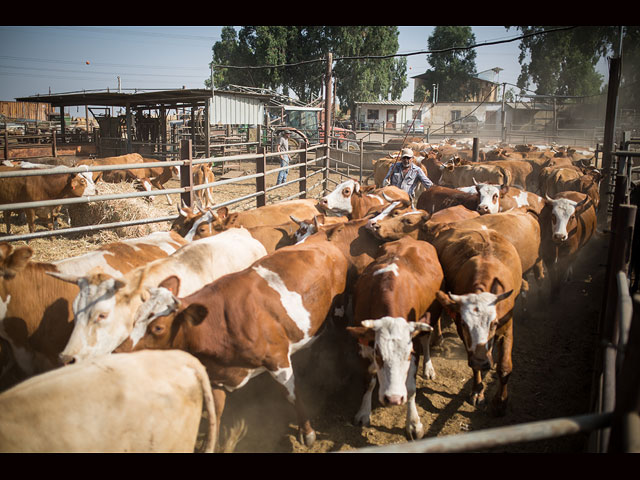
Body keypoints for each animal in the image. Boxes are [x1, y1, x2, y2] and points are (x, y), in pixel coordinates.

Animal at [348, 236, 442, 438]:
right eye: (378, 355)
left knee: (426, 339)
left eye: (407, 355)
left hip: (433, 312)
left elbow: (411, 387)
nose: (393, 399)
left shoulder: (413, 348)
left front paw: (413, 423)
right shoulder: (363, 346)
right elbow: (369, 381)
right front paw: (363, 413)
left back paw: (429, 368)